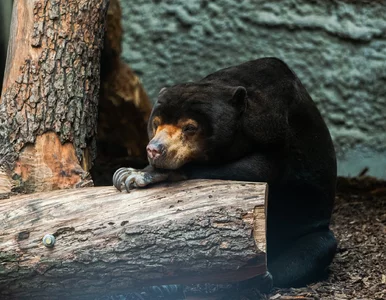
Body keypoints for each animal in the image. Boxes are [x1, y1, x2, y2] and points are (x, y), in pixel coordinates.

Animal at [112, 57, 338, 290]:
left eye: (190, 128)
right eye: (156, 124)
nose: (154, 150)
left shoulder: (279, 134)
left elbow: (258, 169)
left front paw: (136, 174)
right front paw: (126, 172)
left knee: (317, 248)